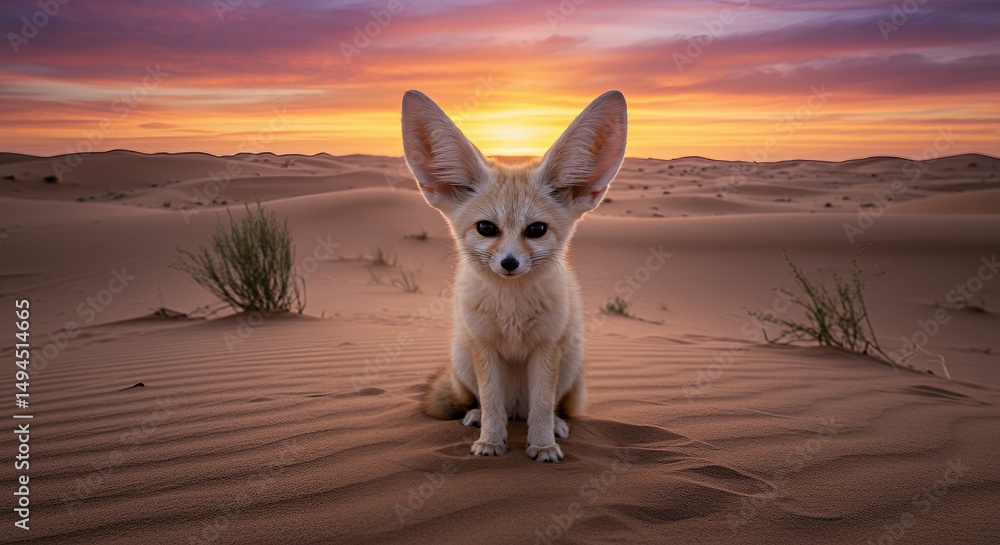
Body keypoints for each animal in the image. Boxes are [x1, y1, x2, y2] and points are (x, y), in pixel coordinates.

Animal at [401, 89, 627, 462]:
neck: (512, 311)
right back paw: (477, 416)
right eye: (486, 228)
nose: (509, 263)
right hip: (464, 357)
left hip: (570, 362)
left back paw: (556, 425)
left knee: (545, 407)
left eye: (536, 230)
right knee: (492, 405)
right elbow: (492, 403)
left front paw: (543, 445)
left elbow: (542, 405)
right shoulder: (485, 346)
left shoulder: (546, 347)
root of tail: (517, 408)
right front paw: (491, 442)